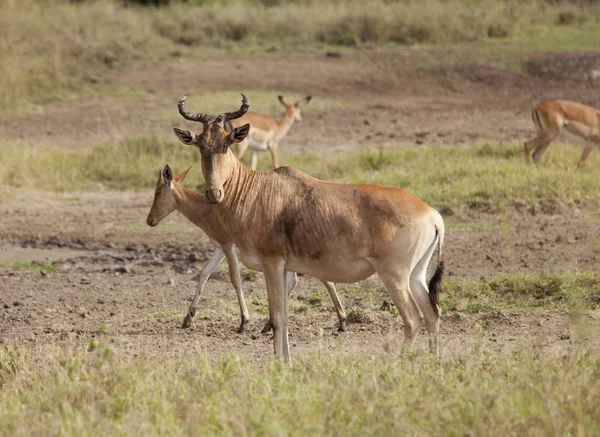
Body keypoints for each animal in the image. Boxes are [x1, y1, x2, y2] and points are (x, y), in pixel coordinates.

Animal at [145, 165, 346, 332]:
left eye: (157, 192)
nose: (150, 220)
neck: (209, 210)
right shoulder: (219, 249)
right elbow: (204, 274)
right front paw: (187, 319)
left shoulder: (228, 246)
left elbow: (235, 279)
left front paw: (243, 322)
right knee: (302, 279)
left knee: (317, 278)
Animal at [173, 94, 446, 362]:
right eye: (200, 145)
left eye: (226, 143)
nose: (214, 194)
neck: (257, 190)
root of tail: (432, 215)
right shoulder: (285, 268)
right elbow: (281, 318)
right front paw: (285, 362)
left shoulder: (272, 264)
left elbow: (277, 318)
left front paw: (280, 366)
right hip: (416, 274)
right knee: (432, 314)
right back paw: (433, 362)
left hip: (394, 275)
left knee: (413, 319)